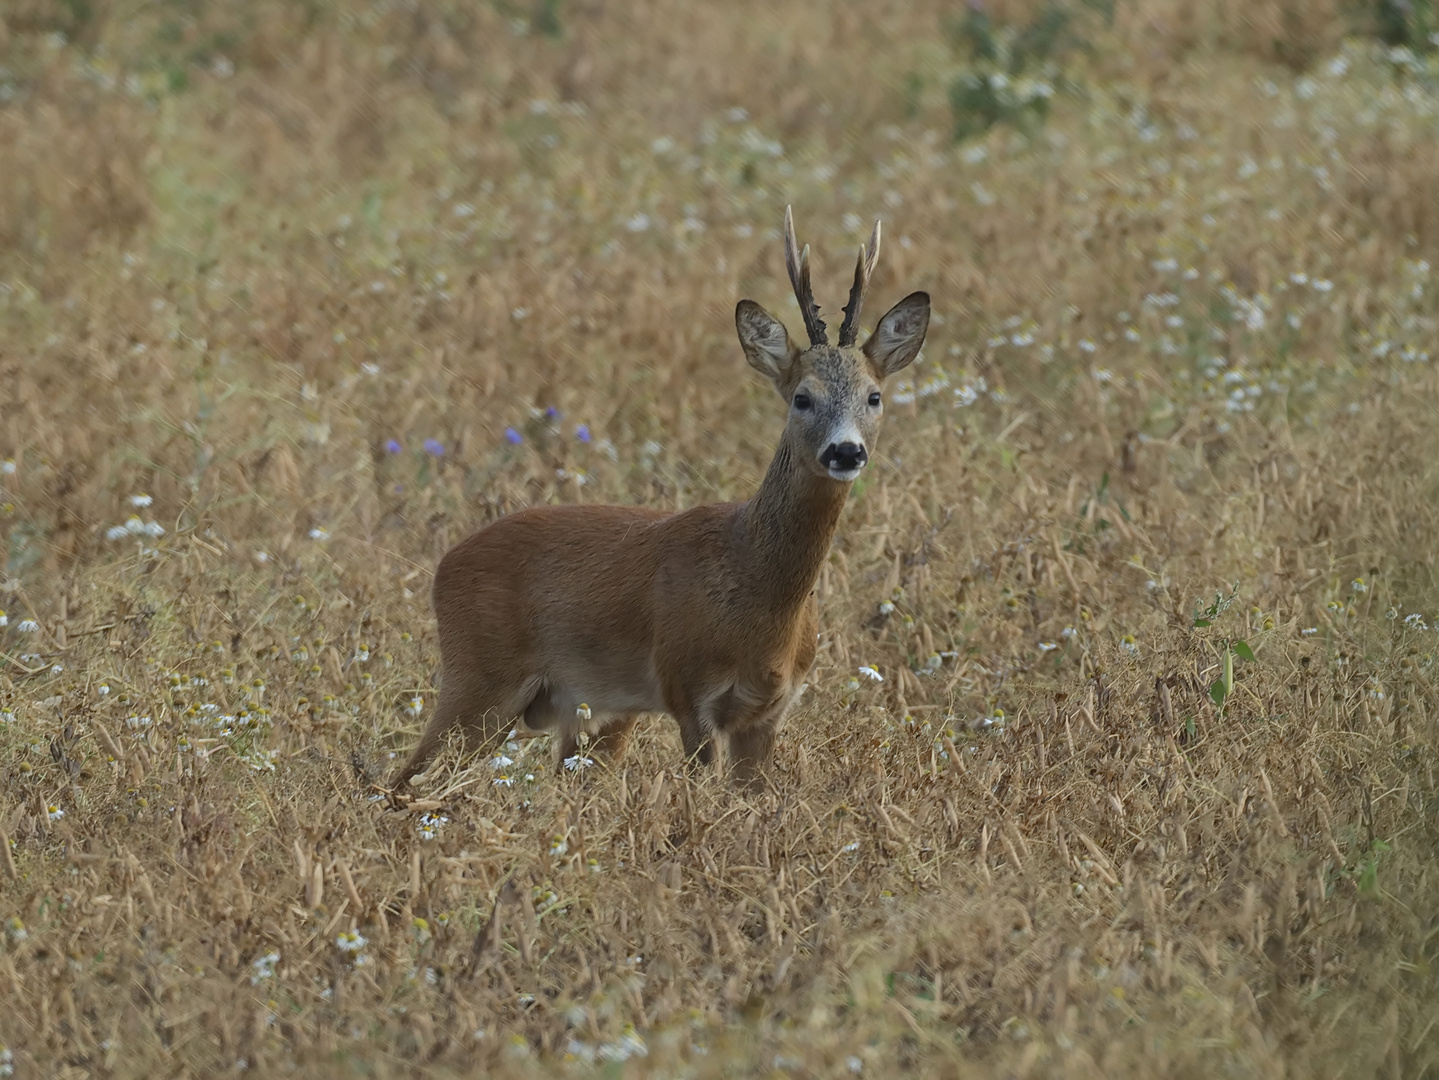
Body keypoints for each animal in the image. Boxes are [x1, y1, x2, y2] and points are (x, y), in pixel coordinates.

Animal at [394, 207, 932, 788]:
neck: (758, 597)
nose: (846, 450)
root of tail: (443, 566)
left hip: (582, 713)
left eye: (874, 396)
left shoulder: (770, 710)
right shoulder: (687, 688)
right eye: (801, 397)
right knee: (401, 781)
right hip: (478, 677)